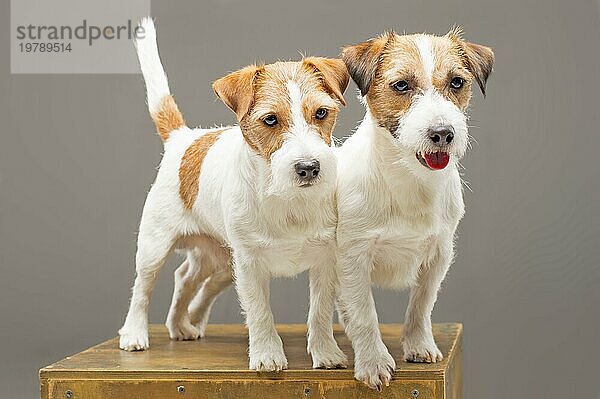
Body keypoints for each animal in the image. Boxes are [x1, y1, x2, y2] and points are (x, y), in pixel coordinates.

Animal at [118, 18, 352, 374]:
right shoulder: (251, 265)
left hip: (221, 260)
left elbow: (320, 312)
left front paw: (326, 353)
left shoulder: (326, 260)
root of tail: (182, 138)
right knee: (144, 287)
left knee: (186, 278)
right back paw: (134, 333)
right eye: (270, 119)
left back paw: (182, 325)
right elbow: (259, 311)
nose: (309, 168)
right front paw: (267, 355)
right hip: (155, 246)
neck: (286, 199)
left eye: (322, 113)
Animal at [336, 28, 494, 390]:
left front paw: (419, 345)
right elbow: (365, 314)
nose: (443, 133)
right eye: (401, 85)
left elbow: (421, 304)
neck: (410, 180)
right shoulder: (353, 258)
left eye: (456, 82)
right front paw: (373, 361)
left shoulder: (438, 254)